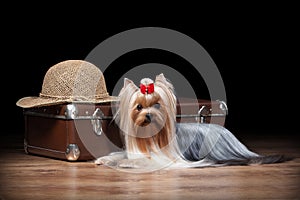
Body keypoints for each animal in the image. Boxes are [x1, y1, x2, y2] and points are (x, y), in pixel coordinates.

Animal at [95, 74, 288, 171]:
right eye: (139, 107)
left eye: (158, 105)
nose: (148, 116)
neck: (152, 137)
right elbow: (120, 155)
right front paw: (105, 159)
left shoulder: (167, 160)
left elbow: (146, 162)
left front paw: (127, 163)